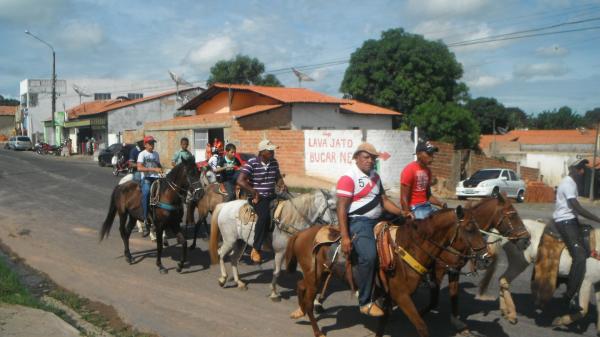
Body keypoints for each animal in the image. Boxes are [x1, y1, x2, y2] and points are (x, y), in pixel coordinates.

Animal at [288, 205, 492, 336]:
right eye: (470, 228)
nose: (487, 258)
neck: (408, 248)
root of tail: (302, 233)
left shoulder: (388, 296)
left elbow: (382, 325)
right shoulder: (401, 296)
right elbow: (421, 326)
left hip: (321, 274)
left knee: (300, 285)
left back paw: (299, 311)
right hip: (314, 276)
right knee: (309, 301)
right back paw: (316, 330)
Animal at [420, 193, 532, 332]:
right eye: (512, 215)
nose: (527, 240)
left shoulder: (454, 270)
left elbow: (454, 295)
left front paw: (457, 323)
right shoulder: (439, 270)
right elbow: (434, 301)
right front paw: (420, 313)